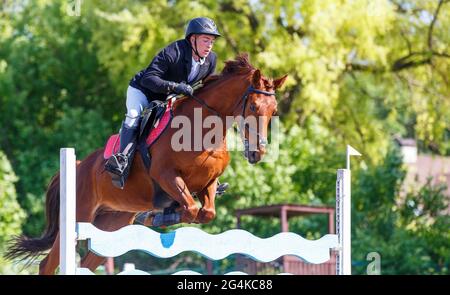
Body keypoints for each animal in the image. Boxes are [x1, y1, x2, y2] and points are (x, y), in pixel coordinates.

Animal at [5, 53, 288, 276]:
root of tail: (77, 165)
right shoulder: (166, 176)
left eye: (273, 111)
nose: (258, 153)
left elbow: (205, 212)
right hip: (79, 216)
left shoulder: (208, 182)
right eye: (253, 106)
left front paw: (162, 213)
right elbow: (190, 208)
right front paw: (163, 214)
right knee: (47, 264)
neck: (202, 129)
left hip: (112, 223)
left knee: (86, 263)